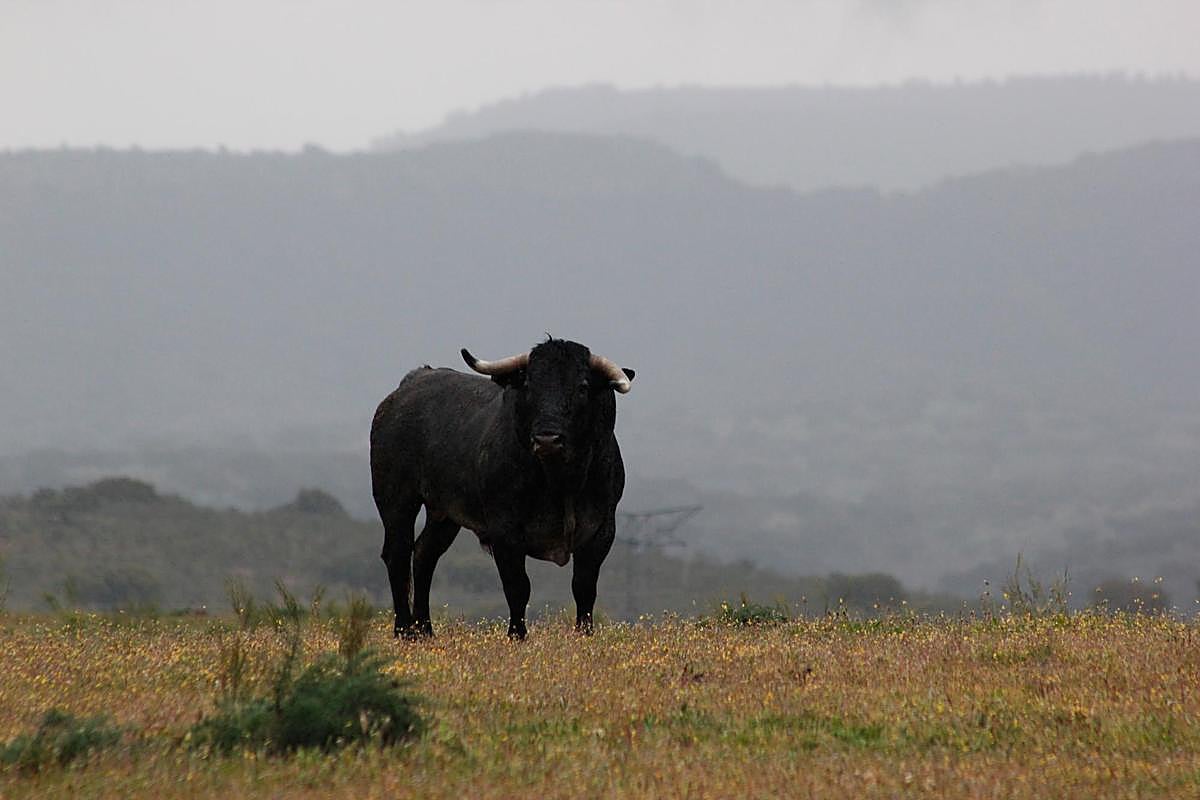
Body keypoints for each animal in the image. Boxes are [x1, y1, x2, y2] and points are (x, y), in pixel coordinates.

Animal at [369, 338, 634, 640]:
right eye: (529, 384)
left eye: (582, 387)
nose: (547, 439)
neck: (562, 482)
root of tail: (409, 385)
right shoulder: (504, 530)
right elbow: (517, 586)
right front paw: (517, 635)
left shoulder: (602, 529)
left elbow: (584, 586)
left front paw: (584, 634)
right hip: (396, 500)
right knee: (398, 555)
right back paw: (405, 630)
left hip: (444, 514)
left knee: (424, 554)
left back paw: (424, 629)